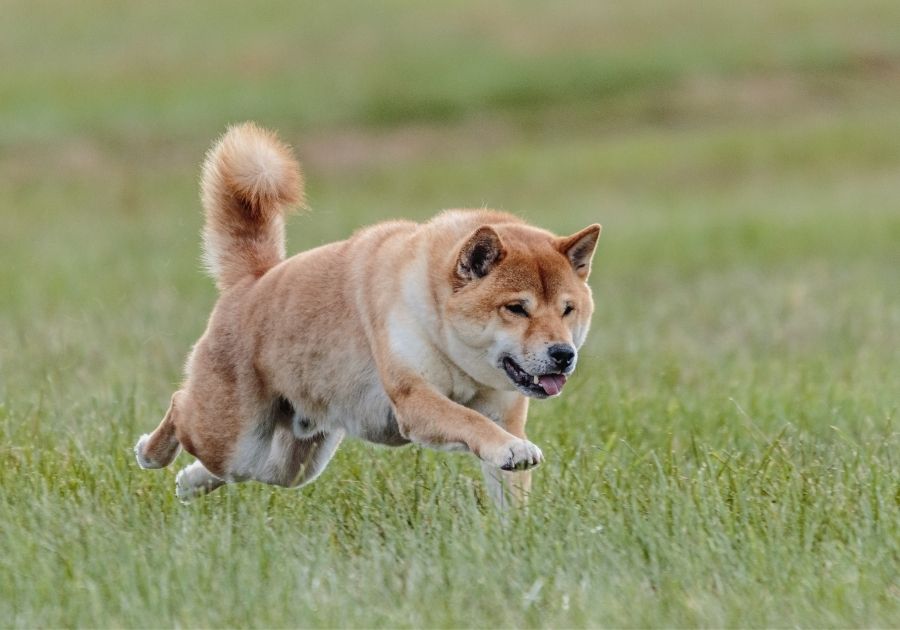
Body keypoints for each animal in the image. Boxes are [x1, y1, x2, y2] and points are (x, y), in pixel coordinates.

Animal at [134, 124, 600, 508]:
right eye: (516, 308)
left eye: (567, 310)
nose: (563, 355)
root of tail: (253, 280)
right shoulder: (414, 398)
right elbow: (468, 420)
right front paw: (510, 451)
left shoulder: (505, 413)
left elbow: (509, 482)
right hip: (234, 435)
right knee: (180, 407)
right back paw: (149, 452)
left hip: (291, 460)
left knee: (238, 470)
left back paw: (189, 482)